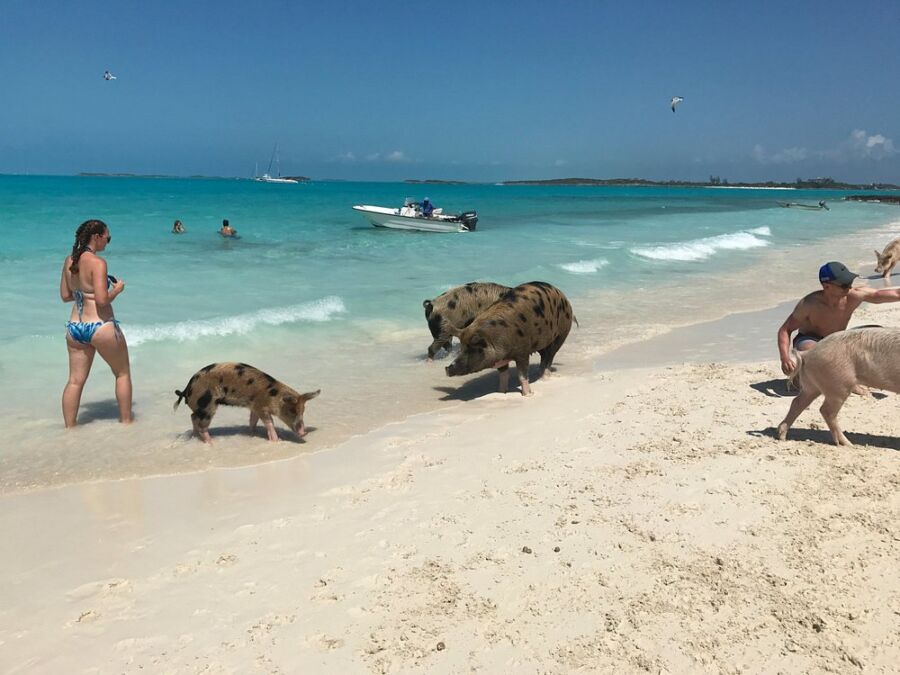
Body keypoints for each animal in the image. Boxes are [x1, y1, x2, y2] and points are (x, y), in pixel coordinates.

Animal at [174, 362, 320, 443]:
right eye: (292, 410)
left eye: (303, 410)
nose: (304, 433)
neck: (273, 396)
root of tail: (187, 388)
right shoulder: (261, 406)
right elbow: (270, 422)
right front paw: (276, 440)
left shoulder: (254, 406)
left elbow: (252, 420)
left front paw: (252, 434)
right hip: (208, 406)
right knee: (202, 425)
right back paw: (211, 442)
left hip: (201, 408)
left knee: (193, 417)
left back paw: (195, 436)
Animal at [445, 281, 576, 396]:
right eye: (462, 348)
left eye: (472, 348)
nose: (447, 368)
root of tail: (563, 296)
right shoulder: (501, 358)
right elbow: (503, 375)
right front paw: (500, 392)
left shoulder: (523, 352)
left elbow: (522, 375)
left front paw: (528, 395)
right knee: (544, 357)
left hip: (562, 333)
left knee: (549, 357)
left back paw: (545, 377)